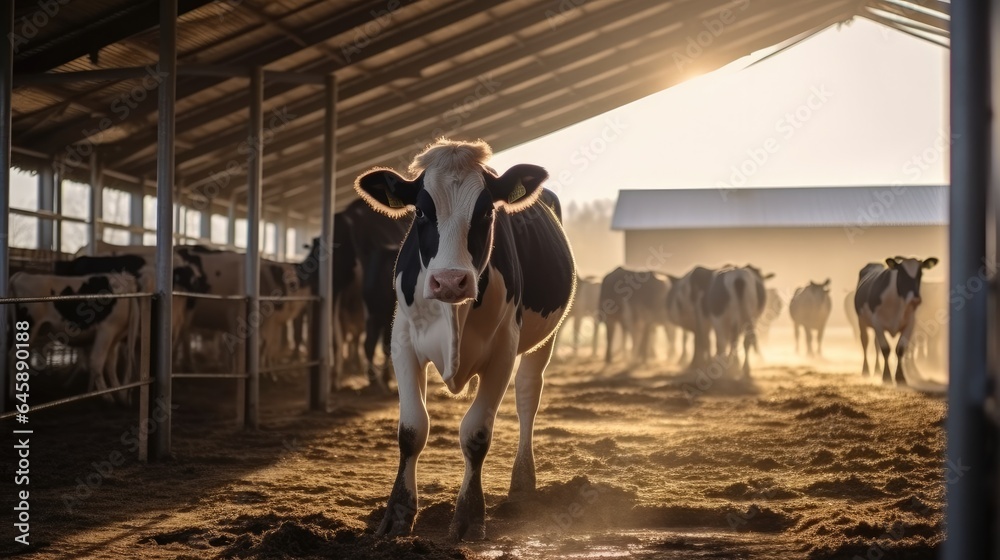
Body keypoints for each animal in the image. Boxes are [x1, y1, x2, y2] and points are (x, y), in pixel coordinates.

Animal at [354, 138, 576, 540]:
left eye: (487, 211)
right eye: (421, 212)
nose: (449, 281)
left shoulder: (503, 349)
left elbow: (476, 434)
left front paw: (469, 516)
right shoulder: (401, 342)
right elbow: (412, 429)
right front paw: (397, 514)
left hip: (544, 340)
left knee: (527, 396)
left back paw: (523, 483)